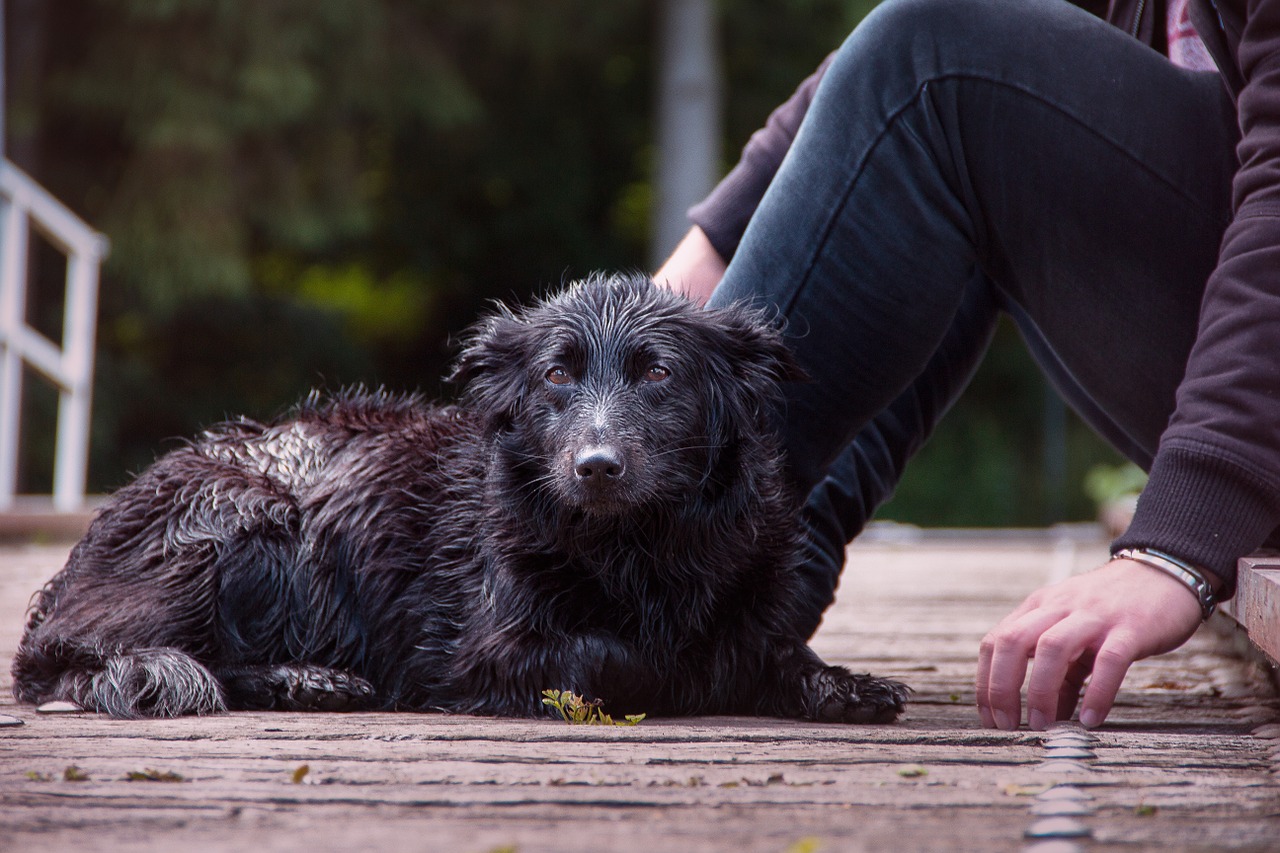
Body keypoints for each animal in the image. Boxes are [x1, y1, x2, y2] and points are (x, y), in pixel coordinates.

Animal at [10, 275, 911, 722]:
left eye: (659, 372)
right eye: (556, 374)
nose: (597, 465)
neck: (635, 545)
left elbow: (767, 648)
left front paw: (838, 683)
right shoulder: (480, 649)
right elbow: (620, 656)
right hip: (243, 521)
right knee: (78, 659)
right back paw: (302, 678)